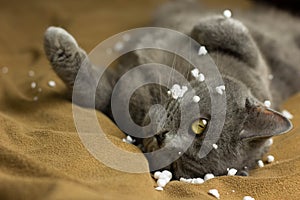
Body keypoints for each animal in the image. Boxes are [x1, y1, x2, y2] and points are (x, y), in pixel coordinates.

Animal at [43, 0, 298, 179]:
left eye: (174, 166)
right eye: (201, 125)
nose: (161, 137)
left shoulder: (115, 99)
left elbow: (92, 91)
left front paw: (56, 42)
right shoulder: (258, 67)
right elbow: (240, 40)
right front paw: (214, 24)